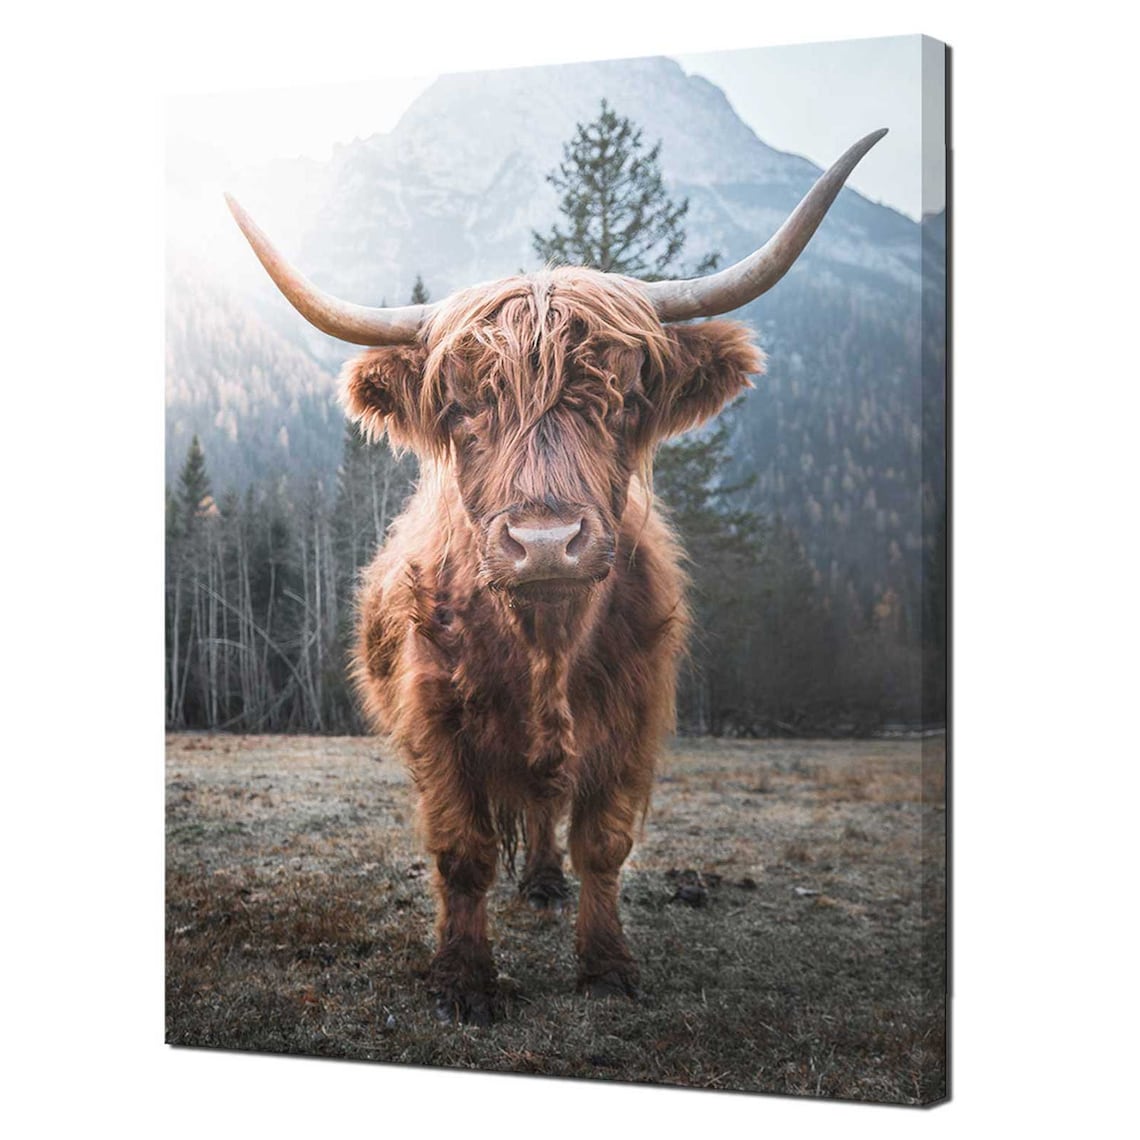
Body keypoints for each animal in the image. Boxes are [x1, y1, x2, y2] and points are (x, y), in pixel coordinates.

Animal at [227, 129, 885, 1024]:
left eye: (624, 399)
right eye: (461, 408)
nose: (544, 543)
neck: (543, 644)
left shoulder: (634, 714)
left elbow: (603, 844)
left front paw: (606, 965)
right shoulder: (435, 720)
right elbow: (462, 851)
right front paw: (465, 979)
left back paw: (543, 881)